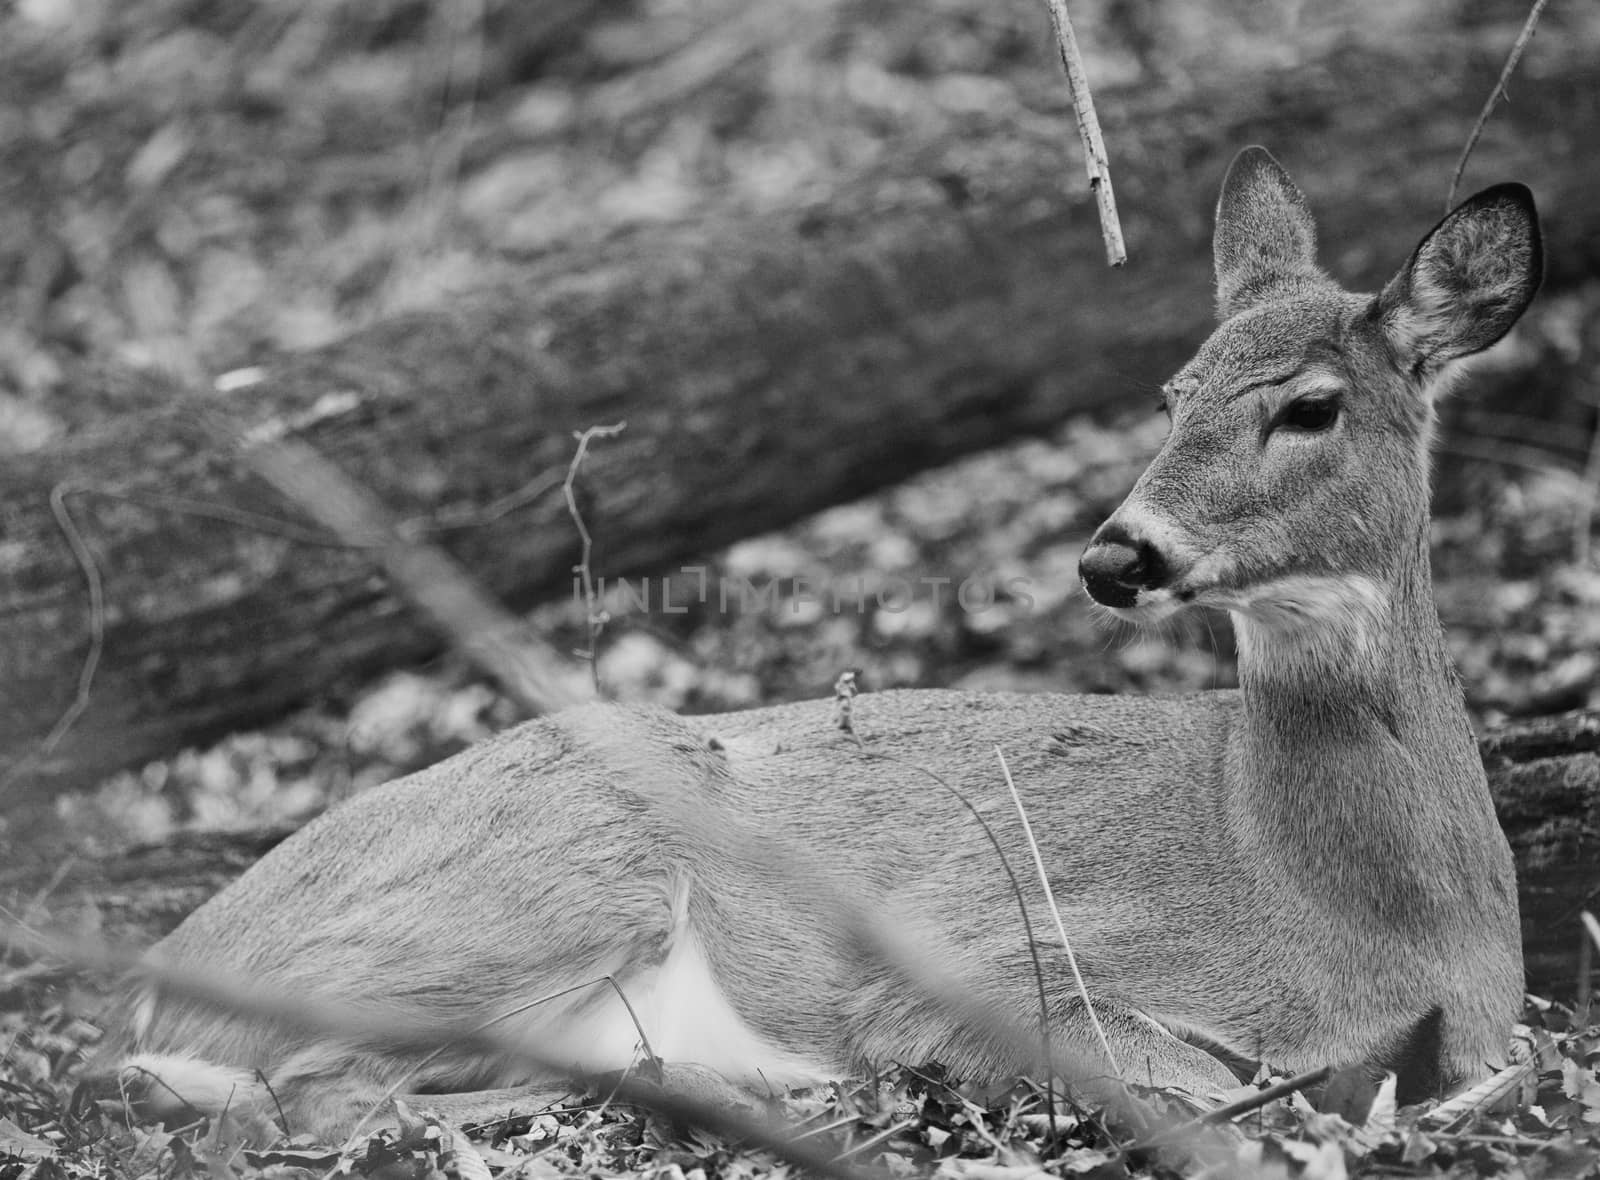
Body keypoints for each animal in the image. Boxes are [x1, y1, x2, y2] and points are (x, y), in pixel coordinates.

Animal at [96, 147, 1536, 1138]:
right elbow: (1184, 1078)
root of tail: (165, 967)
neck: (1352, 907)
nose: (1115, 555)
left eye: (1311, 406)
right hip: (556, 873)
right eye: (1171, 394)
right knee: (312, 1087)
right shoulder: (990, 955)